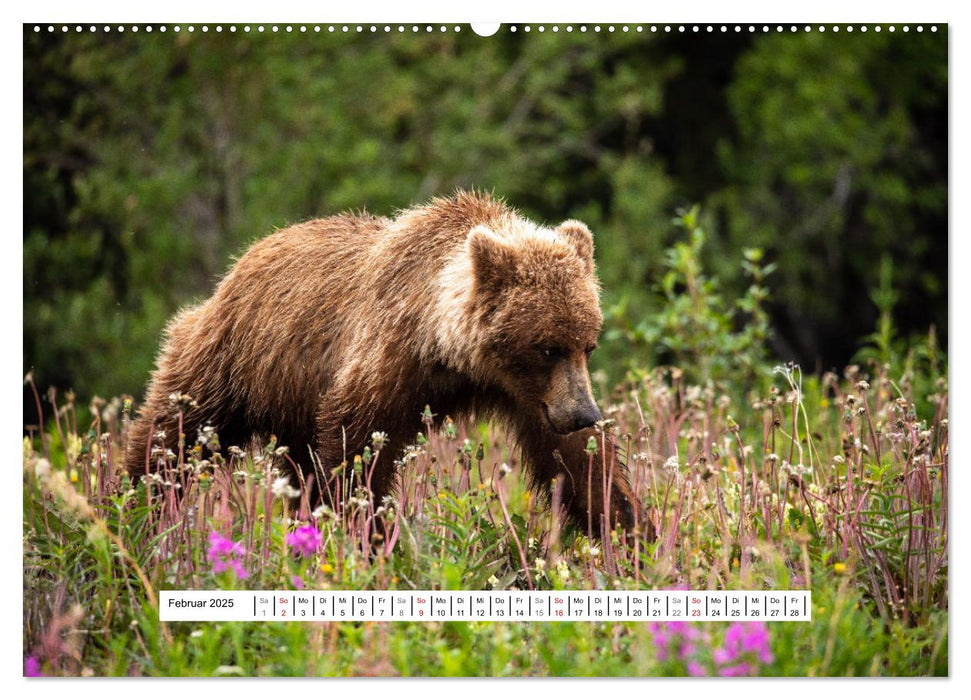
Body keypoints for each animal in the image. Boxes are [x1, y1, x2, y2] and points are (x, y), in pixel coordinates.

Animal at [127, 194, 636, 540]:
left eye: (588, 344)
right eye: (547, 347)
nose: (584, 414)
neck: (451, 354)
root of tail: (242, 260)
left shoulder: (529, 394)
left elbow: (578, 464)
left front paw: (628, 531)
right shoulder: (389, 360)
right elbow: (356, 452)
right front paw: (362, 533)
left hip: (289, 399)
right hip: (234, 360)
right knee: (174, 433)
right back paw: (136, 505)